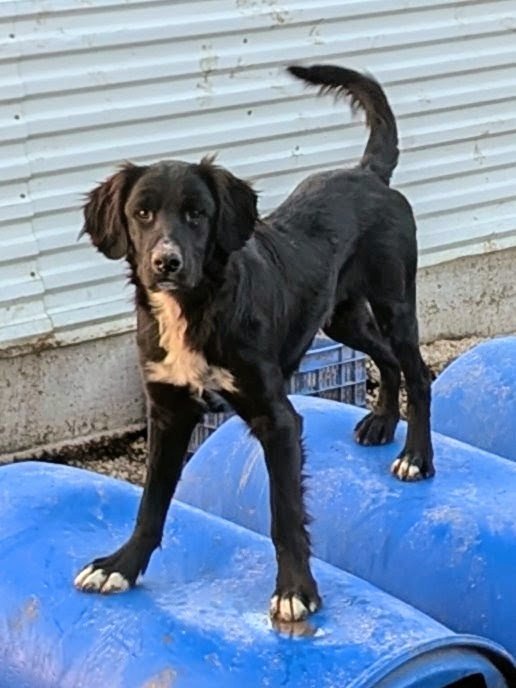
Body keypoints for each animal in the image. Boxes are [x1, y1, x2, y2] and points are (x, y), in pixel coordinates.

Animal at [74, 64, 433, 622]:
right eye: (142, 213)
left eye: (198, 214)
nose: (166, 262)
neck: (196, 308)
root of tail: (369, 174)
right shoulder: (169, 413)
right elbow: (150, 503)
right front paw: (121, 566)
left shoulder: (277, 419)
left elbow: (285, 514)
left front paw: (296, 591)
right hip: (342, 318)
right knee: (386, 358)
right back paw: (381, 423)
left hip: (395, 301)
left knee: (418, 372)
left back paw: (416, 456)